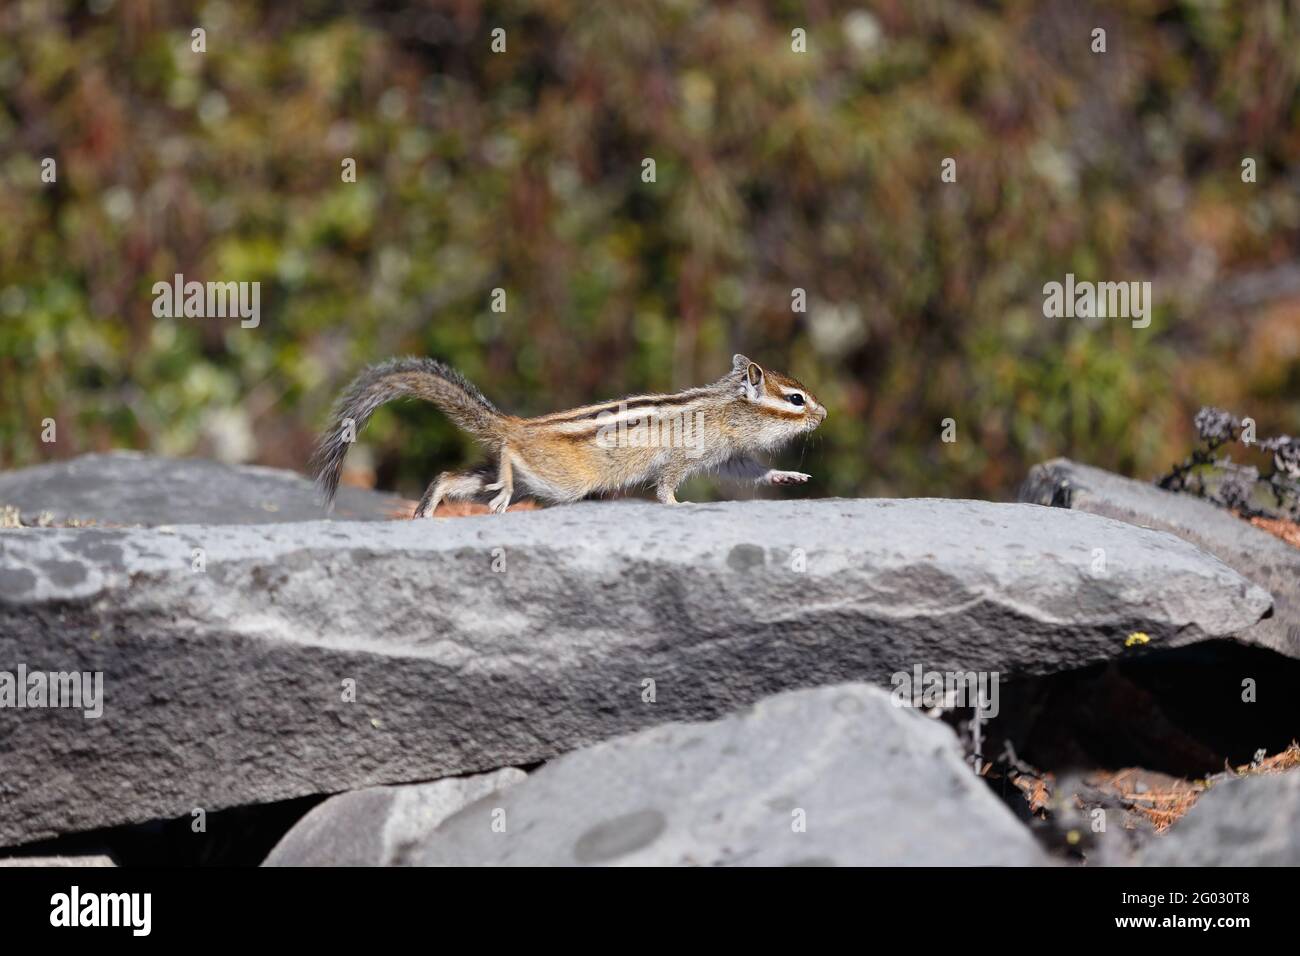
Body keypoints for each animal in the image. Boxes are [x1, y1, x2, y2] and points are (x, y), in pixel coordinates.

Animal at [312, 353, 827, 516]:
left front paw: (787, 477)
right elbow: (665, 485)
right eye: (796, 399)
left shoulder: (727, 456)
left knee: (451, 476)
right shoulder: (683, 458)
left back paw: (428, 508)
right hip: (563, 479)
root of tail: (514, 424)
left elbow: (749, 472)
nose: (823, 414)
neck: (724, 407)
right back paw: (502, 489)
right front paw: (677, 505)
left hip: (512, 475)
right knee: (509, 460)